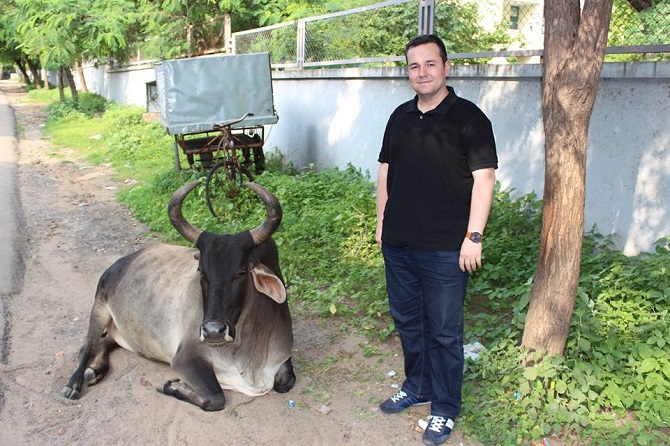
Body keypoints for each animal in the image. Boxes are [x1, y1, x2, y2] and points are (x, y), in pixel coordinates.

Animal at [60, 181, 296, 412]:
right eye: (201, 271)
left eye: (241, 272)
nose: (213, 332)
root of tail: (122, 262)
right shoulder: (185, 360)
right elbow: (216, 398)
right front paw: (172, 386)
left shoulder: (283, 357)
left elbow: (285, 382)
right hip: (99, 306)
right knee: (87, 346)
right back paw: (73, 384)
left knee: (106, 341)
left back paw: (96, 370)